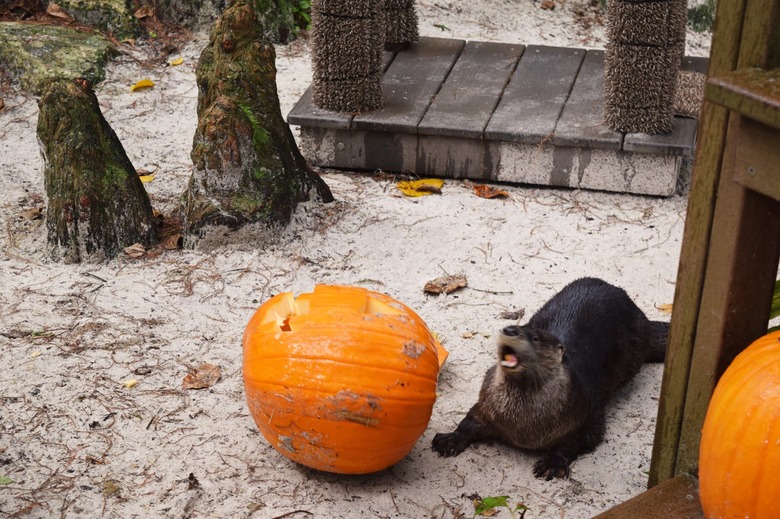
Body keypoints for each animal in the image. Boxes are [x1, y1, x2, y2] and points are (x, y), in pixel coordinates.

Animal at [430, 278, 668, 482]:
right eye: (516, 326)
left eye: (534, 337)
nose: (509, 329)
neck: (523, 425)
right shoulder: (486, 406)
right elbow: (469, 420)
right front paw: (449, 439)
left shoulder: (587, 415)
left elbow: (578, 441)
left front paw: (554, 462)